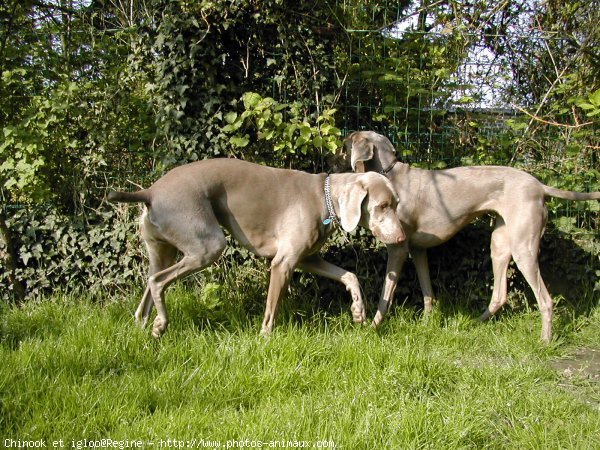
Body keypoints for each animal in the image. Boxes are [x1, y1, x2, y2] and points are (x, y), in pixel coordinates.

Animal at [109, 158, 406, 338]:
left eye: (396, 203)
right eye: (382, 206)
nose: (402, 238)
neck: (324, 197)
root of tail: (149, 192)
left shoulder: (307, 259)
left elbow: (350, 276)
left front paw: (358, 312)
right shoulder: (283, 263)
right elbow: (271, 310)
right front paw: (265, 338)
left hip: (163, 250)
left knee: (147, 290)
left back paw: (149, 328)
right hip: (208, 244)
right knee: (158, 282)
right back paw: (162, 323)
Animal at [338, 130, 600, 342]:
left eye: (345, 144)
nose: (333, 159)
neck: (391, 176)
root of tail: (540, 186)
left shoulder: (398, 249)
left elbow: (386, 294)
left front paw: (372, 327)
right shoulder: (418, 250)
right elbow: (427, 291)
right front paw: (427, 323)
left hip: (523, 248)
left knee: (545, 300)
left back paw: (544, 341)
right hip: (499, 244)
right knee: (499, 295)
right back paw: (474, 324)